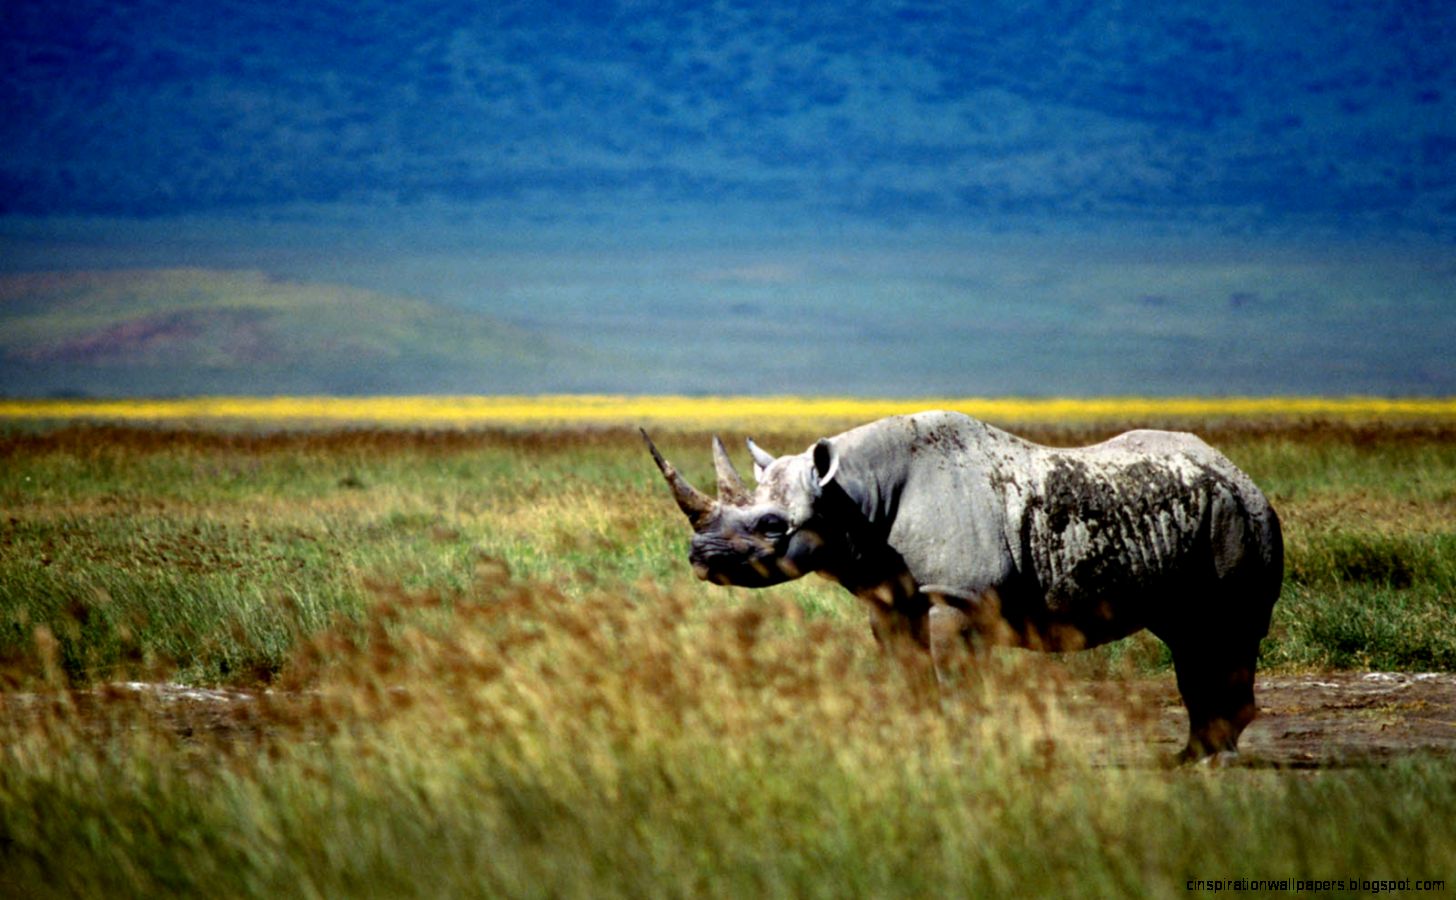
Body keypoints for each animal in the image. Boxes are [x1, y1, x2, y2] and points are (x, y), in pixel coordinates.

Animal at [643, 410, 1283, 763]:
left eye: (773, 526)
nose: (700, 558)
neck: (852, 494)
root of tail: (1242, 475)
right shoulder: (889, 597)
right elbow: (907, 675)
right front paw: (916, 744)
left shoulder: (956, 595)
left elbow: (955, 680)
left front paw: (961, 749)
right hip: (1200, 512)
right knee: (1187, 635)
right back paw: (1188, 758)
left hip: (1239, 517)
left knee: (1222, 630)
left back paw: (1211, 762)